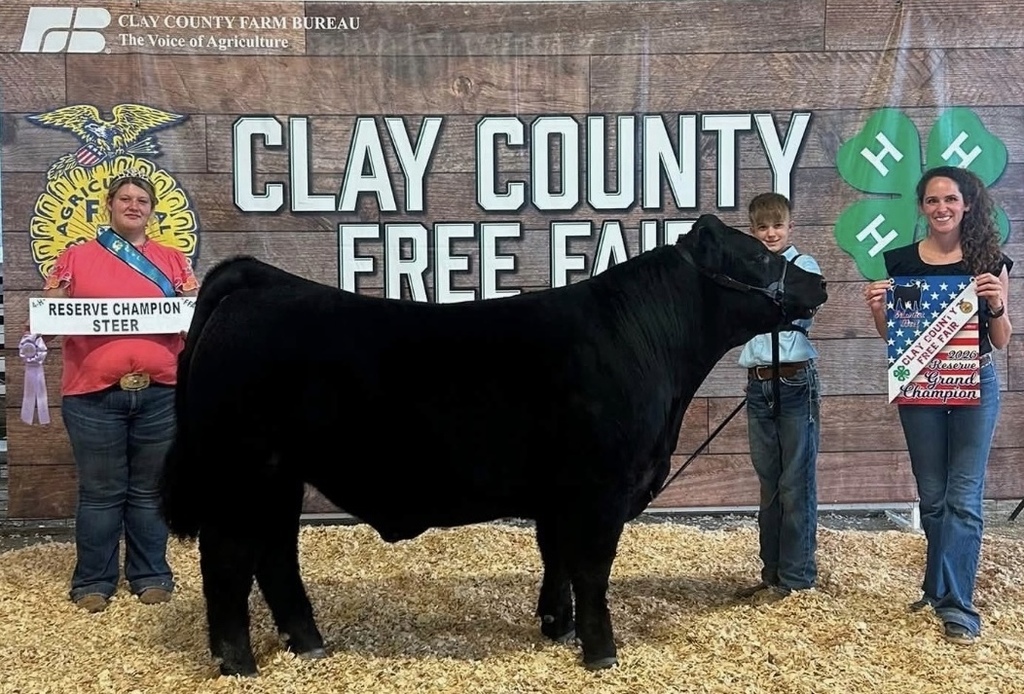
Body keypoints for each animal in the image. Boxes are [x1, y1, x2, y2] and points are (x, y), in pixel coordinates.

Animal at [159, 214, 827, 677]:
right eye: (756, 254)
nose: (818, 283)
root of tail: (259, 281)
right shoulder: (601, 489)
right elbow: (591, 569)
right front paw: (601, 651)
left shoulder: (561, 495)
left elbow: (557, 560)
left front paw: (557, 627)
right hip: (242, 470)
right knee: (227, 560)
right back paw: (237, 662)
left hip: (280, 475)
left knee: (275, 556)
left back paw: (309, 645)